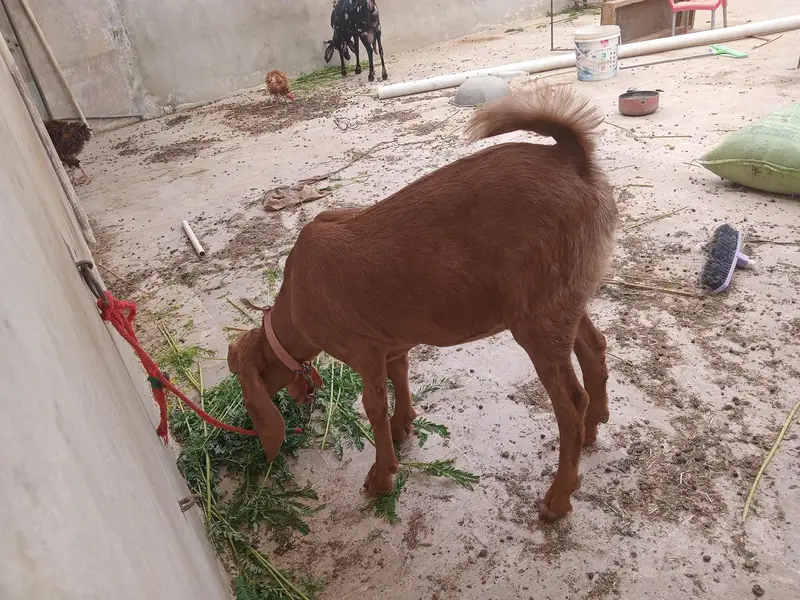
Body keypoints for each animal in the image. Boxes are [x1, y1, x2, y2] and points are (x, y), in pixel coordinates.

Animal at [227, 87, 617, 520]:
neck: (296, 294)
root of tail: (570, 157)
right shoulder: (392, 343)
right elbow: (400, 377)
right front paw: (403, 427)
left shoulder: (363, 351)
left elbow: (373, 406)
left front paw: (381, 475)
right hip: (565, 296)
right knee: (593, 347)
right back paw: (594, 426)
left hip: (537, 320)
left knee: (571, 402)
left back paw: (559, 496)